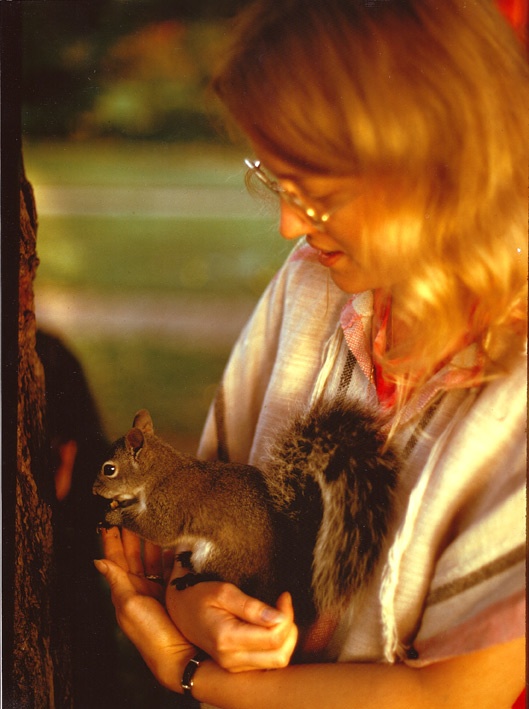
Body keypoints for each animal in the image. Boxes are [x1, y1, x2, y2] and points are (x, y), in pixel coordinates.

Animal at [93, 402, 398, 628]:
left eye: (109, 469)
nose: (93, 489)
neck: (159, 472)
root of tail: (274, 579)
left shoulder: (169, 505)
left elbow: (159, 530)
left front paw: (113, 516)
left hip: (218, 555)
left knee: (225, 577)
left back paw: (193, 576)